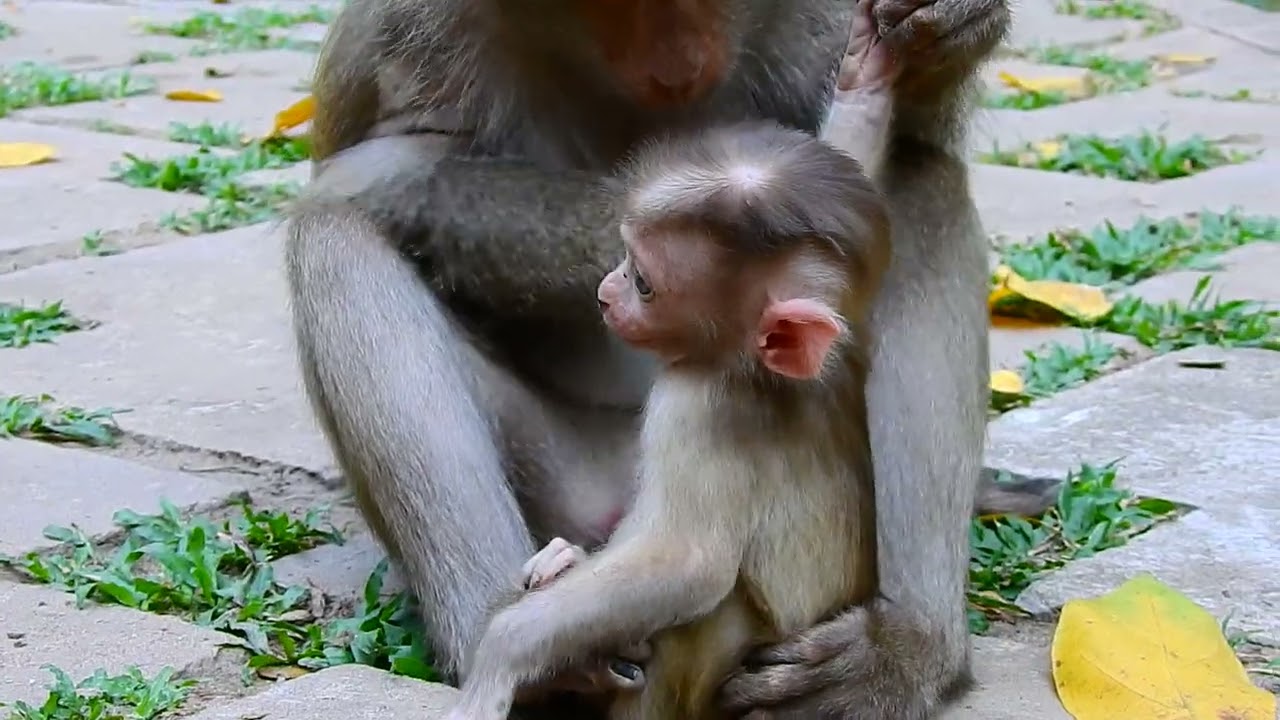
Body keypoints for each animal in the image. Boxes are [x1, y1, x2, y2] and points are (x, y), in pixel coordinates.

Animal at [444, 117, 891, 720]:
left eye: (643, 283)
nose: (605, 292)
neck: (756, 369)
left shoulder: (696, 405)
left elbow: (687, 565)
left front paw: (503, 652)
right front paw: (565, 561)